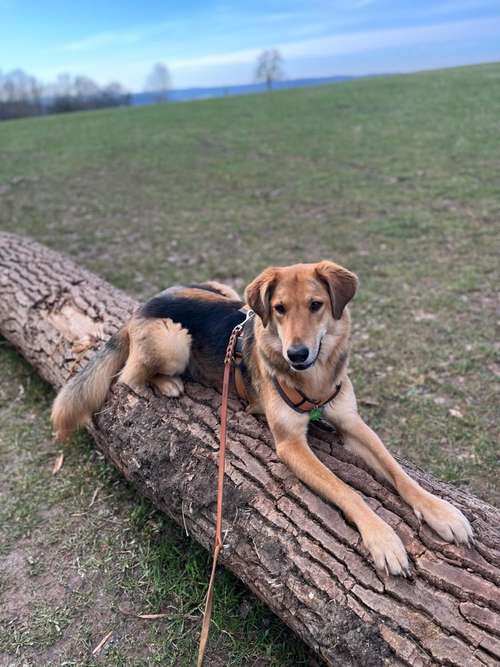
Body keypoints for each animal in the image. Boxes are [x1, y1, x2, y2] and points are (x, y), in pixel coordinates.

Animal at [51, 260, 472, 576]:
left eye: (316, 305)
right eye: (280, 309)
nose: (296, 354)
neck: (314, 379)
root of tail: (141, 306)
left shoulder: (352, 423)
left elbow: (398, 473)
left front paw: (442, 512)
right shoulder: (291, 445)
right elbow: (346, 490)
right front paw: (382, 538)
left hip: (224, 291)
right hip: (172, 340)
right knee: (130, 376)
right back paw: (168, 384)